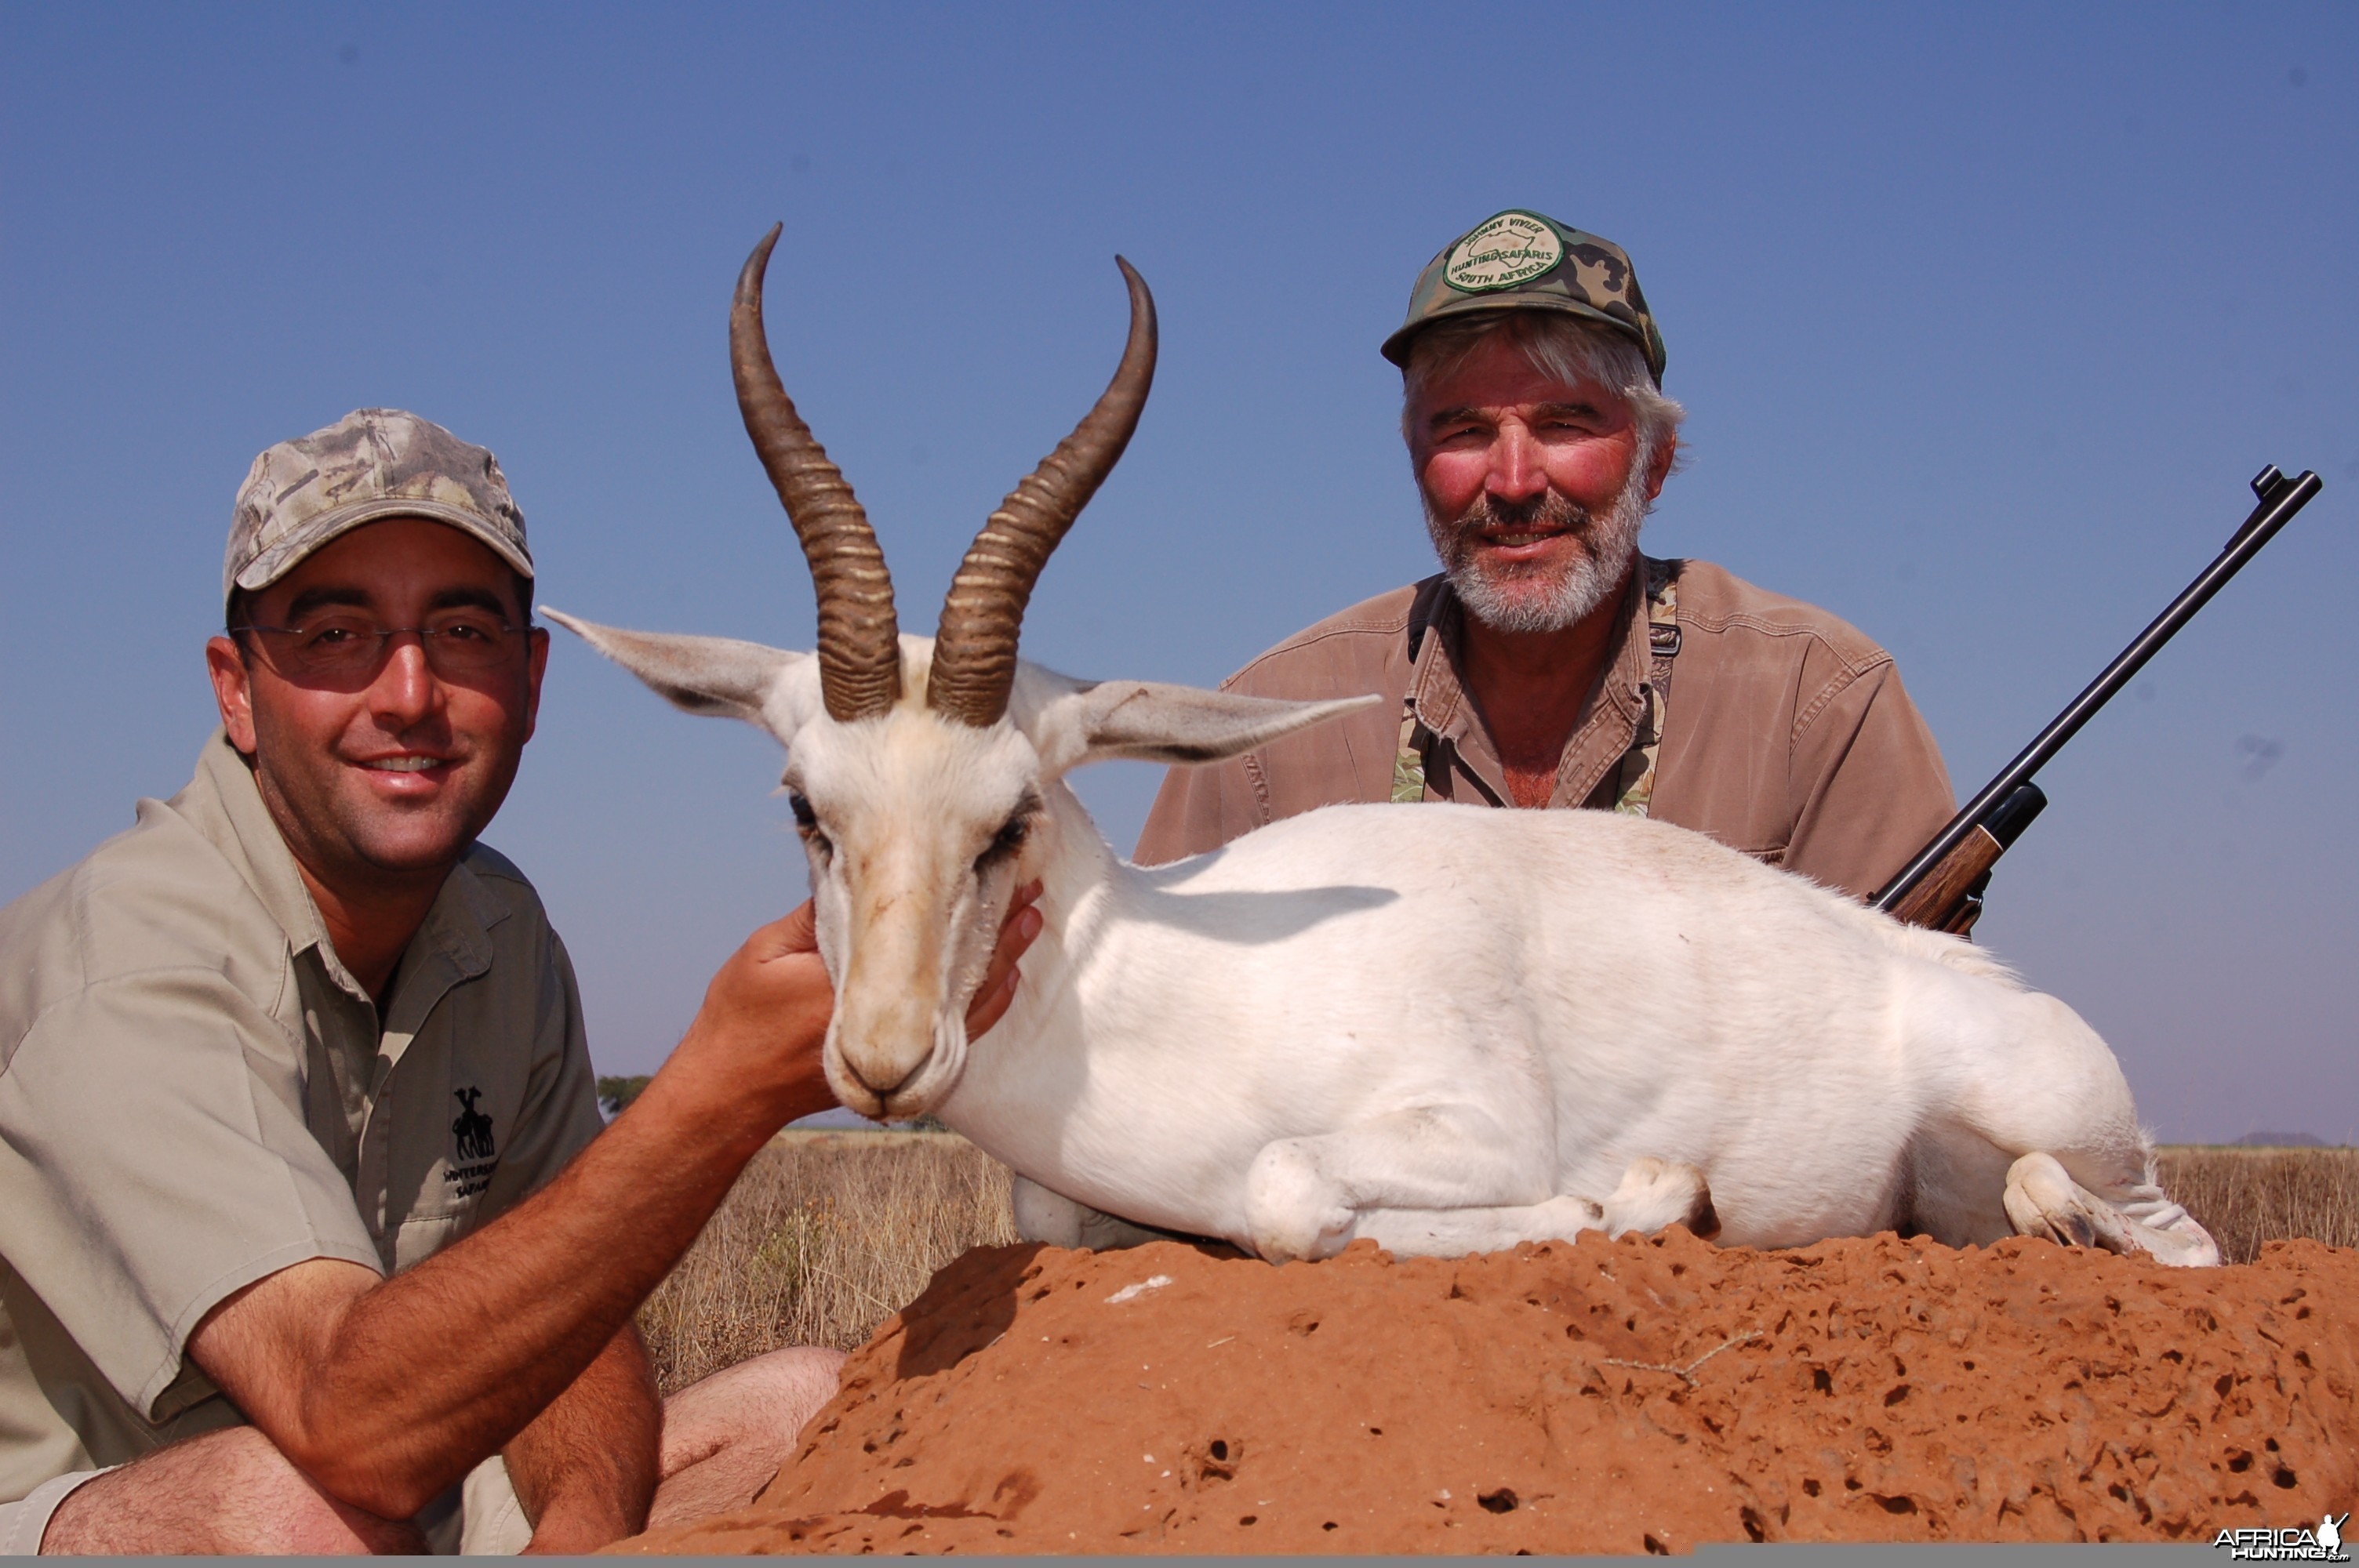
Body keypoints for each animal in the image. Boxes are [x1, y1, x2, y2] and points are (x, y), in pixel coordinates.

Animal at [547, 226, 2208, 1264]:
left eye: (1010, 815)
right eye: (803, 806)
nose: (884, 1064)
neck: (1177, 985)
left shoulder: (1460, 1134)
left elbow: (1290, 1200)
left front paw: (1631, 1200)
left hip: (2064, 1122)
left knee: (2161, 1236)